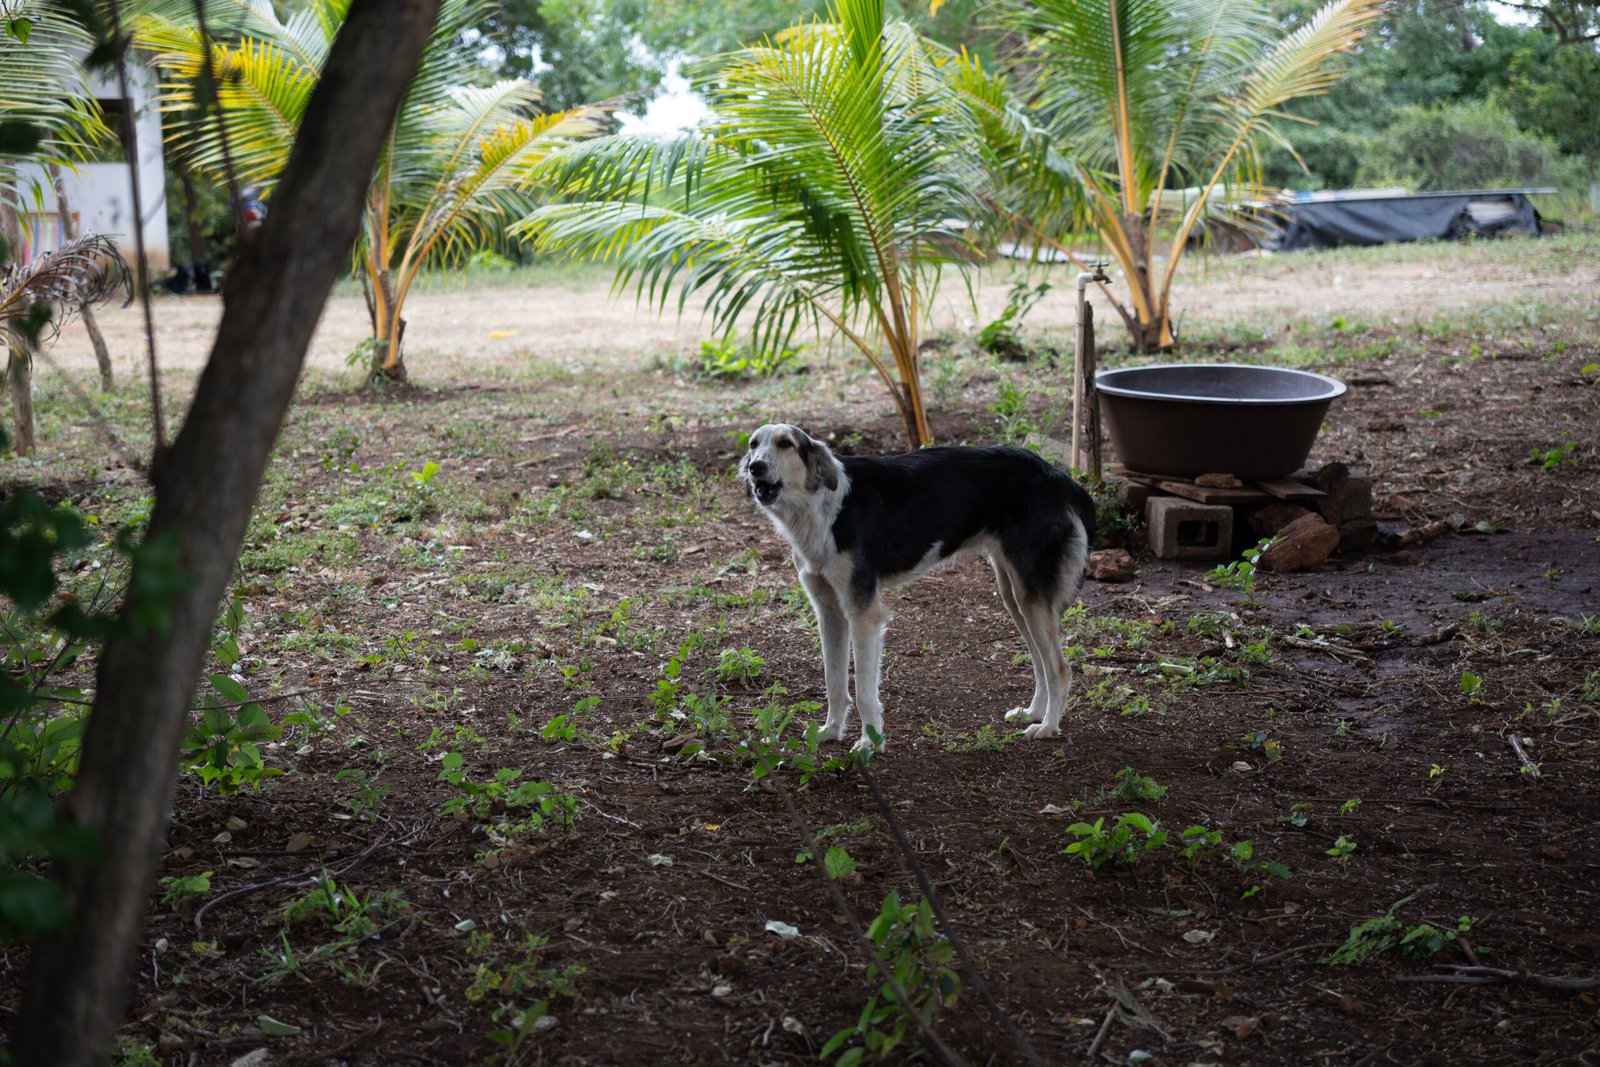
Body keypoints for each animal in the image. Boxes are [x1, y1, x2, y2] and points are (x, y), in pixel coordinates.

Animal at [740, 423, 1096, 751]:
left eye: (785, 444)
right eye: (753, 444)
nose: (754, 467)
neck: (822, 508)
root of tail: (1053, 474)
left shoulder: (864, 614)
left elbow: (864, 690)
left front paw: (870, 743)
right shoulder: (829, 613)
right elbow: (834, 683)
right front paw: (830, 731)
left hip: (1029, 594)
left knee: (1059, 668)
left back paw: (1048, 727)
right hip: (1015, 595)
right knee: (1040, 662)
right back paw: (1034, 712)